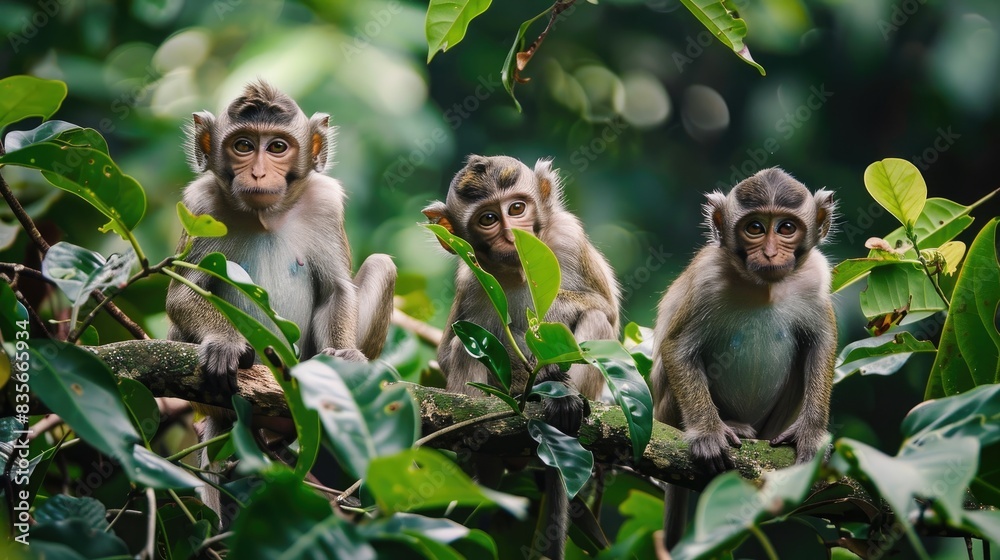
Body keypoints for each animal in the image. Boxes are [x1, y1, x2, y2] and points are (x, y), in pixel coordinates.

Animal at [165, 80, 396, 521]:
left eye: (277, 147)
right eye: (242, 145)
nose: (257, 172)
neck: (266, 214)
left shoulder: (326, 203)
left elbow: (337, 289)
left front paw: (345, 357)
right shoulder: (200, 203)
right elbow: (182, 294)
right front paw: (223, 344)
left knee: (382, 264)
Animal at [423, 155, 620, 560]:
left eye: (517, 208)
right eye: (487, 219)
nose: (513, 237)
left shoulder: (569, 237)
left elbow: (606, 311)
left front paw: (547, 374)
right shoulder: (472, 277)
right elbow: (450, 350)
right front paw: (530, 379)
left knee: (596, 319)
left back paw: (564, 403)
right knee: (463, 345)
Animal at [649, 167, 836, 549]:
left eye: (786, 227)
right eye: (755, 228)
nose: (769, 254)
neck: (763, 286)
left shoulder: (815, 276)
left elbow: (821, 343)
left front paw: (811, 433)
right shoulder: (706, 278)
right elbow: (677, 347)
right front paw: (707, 435)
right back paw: (730, 426)